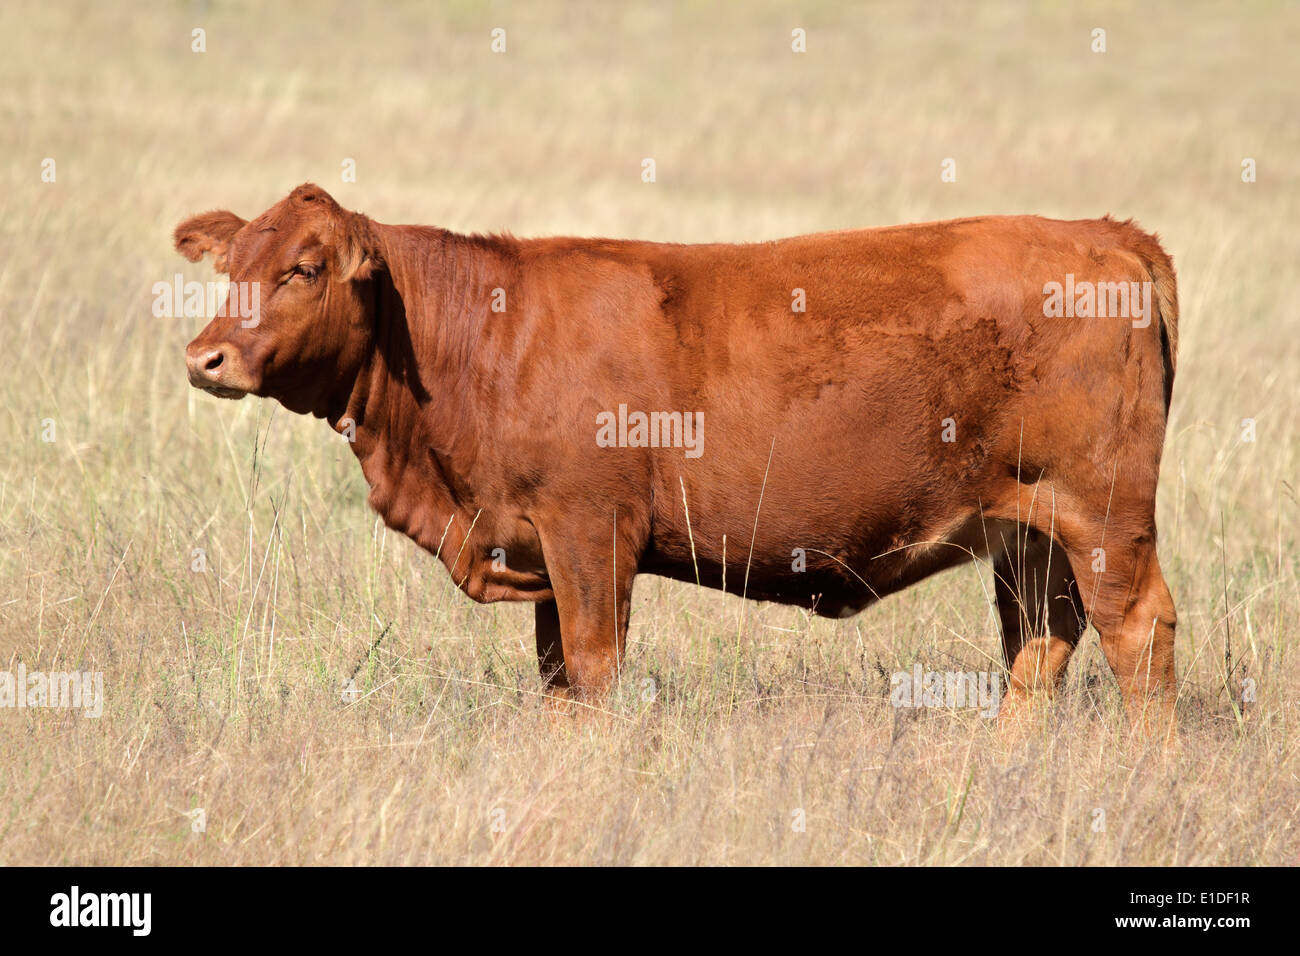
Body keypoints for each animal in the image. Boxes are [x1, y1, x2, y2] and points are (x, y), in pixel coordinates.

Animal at [178, 183, 1185, 728]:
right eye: (230, 268)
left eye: (305, 268)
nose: (205, 356)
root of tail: (1106, 235)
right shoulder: (542, 552)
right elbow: (558, 682)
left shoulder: (589, 532)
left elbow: (593, 672)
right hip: (1032, 533)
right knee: (1042, 645)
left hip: (1104, 516)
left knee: (1139, 633)